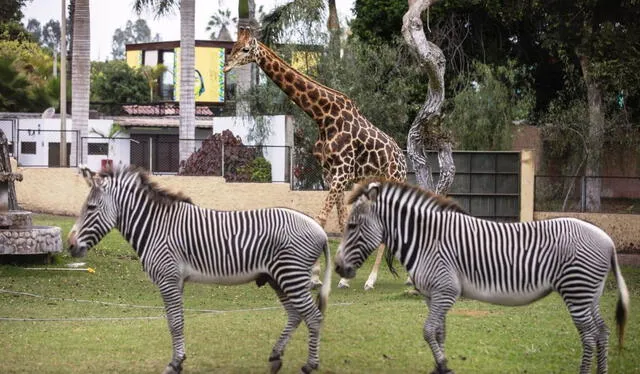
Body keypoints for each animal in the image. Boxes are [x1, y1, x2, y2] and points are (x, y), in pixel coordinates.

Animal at [67, 166, 332, 374]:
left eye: (91, 208)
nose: (69, 246)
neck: (155, 227)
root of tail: (319, 229)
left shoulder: (168, 278)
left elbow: (174, 323)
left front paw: (175, 364)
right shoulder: (177, 281)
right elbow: (177, 320)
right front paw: (179, 359)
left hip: (291, 276)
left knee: (314, 317)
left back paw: (310, 365)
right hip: (278, 278)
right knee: (296, 315)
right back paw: (276, 357)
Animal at [222, 27, 408, 290]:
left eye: (246, 49)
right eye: (233, 47)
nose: (226, 66)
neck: (323, 116)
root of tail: (403, 160)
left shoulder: (342, 172)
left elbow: (320, 219)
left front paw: (315, 275)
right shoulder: (332, 173)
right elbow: (341, 221)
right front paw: (336, 276)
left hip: (392, 181)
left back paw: (373, 280)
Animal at [336, 180, 632, 372]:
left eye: (352, 226)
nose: (338, 269)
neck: (426, 240)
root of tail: (607, 240)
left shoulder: (446, 290)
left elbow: (428, 330)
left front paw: (443, 366)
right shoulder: (433, 295)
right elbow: (439, 332)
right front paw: (440, 366)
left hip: (577, 291)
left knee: (589, 335)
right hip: (589, 293)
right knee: (602, 332)